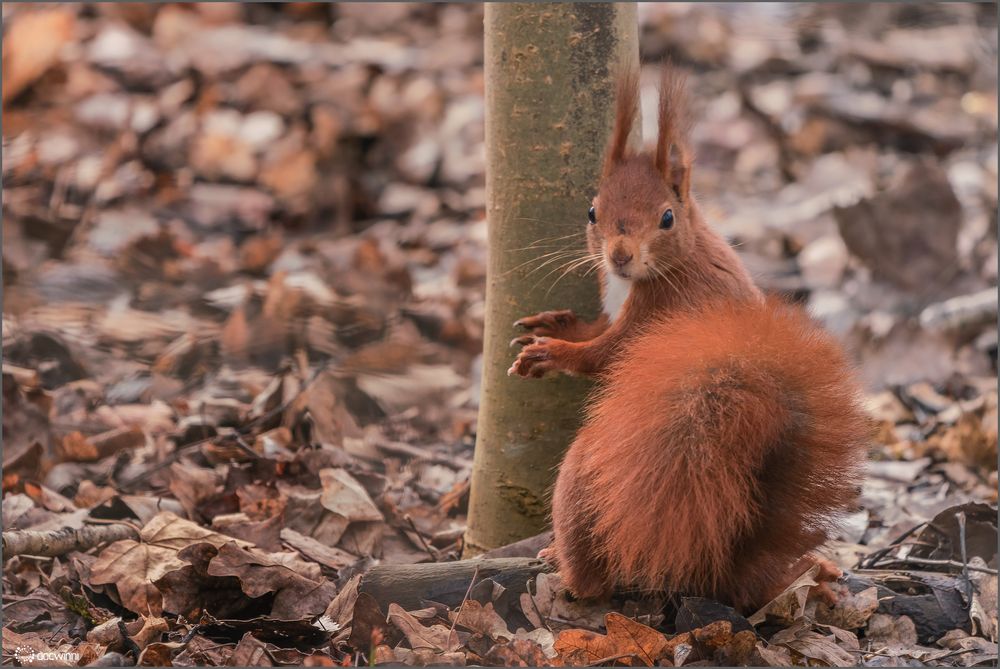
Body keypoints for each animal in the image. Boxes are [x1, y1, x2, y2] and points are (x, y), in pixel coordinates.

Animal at [508, 66, 868, 612]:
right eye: (592, 211)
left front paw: (554, 352)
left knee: (592, 580)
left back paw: (565, 567)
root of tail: (717, 566)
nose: (619, 255)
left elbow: (608, 355)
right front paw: (556, 324)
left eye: (666, 218)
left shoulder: (660, 315)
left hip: (585, 478)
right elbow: (600, 330)